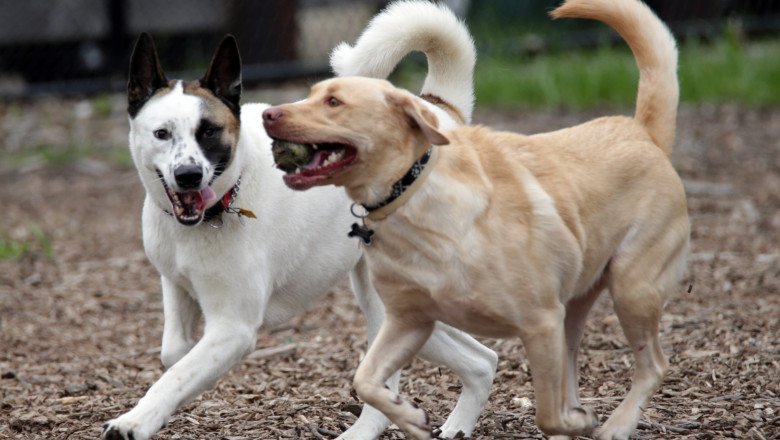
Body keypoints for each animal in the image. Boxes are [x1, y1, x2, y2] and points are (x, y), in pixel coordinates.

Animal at [102, 3, 500, 440]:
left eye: (209, 132)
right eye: (161, 133)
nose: (188, 175)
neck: (224, 201)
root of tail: (437, 110)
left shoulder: (234, 328)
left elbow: (173, 377)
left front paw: (135, 421)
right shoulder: (175, 284)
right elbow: (174, 354)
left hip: (388, 305)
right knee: (483, 359)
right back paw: (458, 424)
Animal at [264, 0, 688, 440]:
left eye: (334, 102)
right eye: (312, 94)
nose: (268, 114)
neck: (416, 200)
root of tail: (642, 132)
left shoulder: (540, 322)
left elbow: (546, 413)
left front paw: (575, 421)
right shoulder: (408, 321)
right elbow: (365, 378)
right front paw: (410, 417)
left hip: (631, 288)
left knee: (653, 365)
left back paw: (616, 425)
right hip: (575, 304)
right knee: (573, 366)